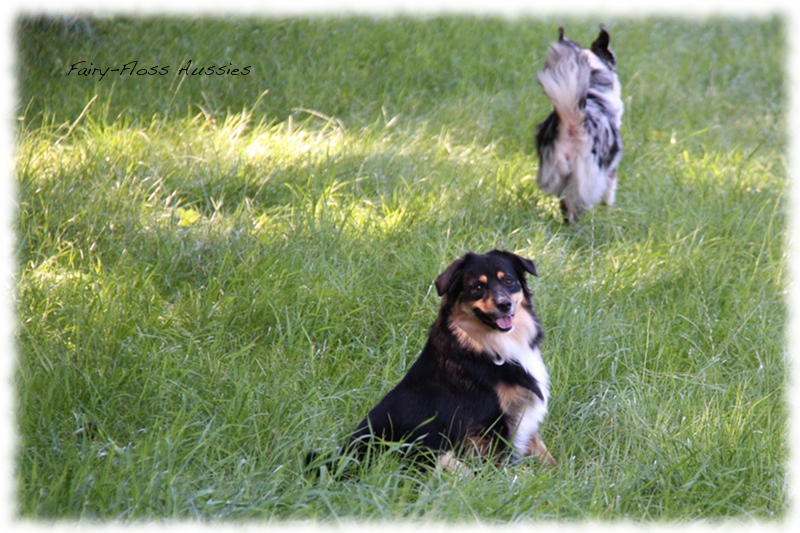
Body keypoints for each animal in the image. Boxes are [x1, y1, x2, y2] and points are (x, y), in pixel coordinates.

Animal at [316, 249, 552, 474]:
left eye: (509, 281)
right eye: (476, 287)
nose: (505, 305)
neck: (485, 346)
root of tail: (345, 455)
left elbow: (547, 456)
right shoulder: (489, 425)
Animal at [536, 27, 624, 222]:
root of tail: (572, 122)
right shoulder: (611, 171)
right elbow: (609, 195)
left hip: (556, 172)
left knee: (564, 203)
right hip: (585, 179)